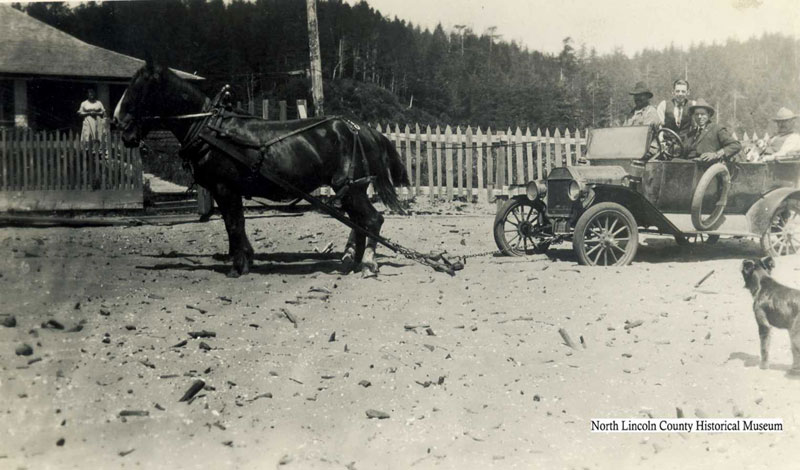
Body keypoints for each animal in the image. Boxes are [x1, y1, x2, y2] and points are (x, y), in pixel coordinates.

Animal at [115, 60, 410, 278]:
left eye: (137, 89)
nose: (118, 123)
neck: (209, 128)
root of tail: (362, 128)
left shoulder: (225, 188)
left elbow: (233, 224)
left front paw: (238, 266)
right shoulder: (228, 191)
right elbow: (236, 224)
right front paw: (246, 259)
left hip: (352, 188)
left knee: (372, 221)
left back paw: (368, 263)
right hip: (349, 190)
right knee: (361, 224)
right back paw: (351, 262)